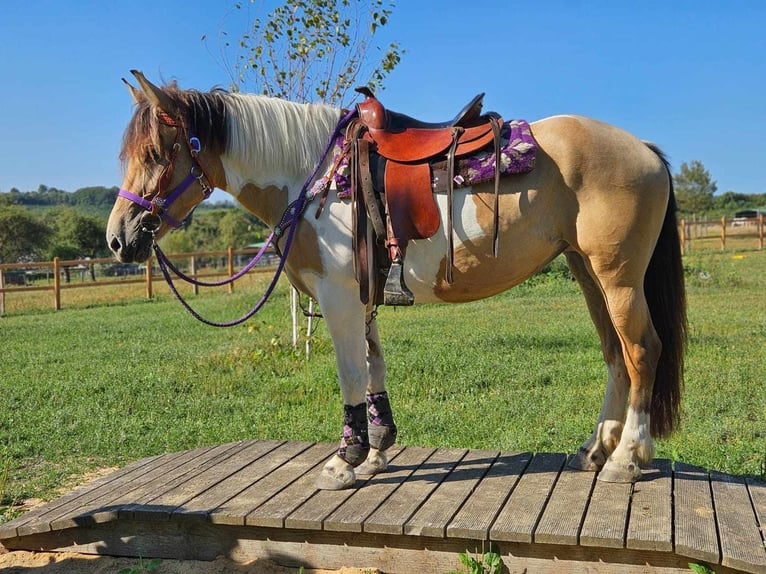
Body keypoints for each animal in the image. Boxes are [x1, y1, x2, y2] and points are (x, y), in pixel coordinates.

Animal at [108, 68, 688, 490]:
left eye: (156, 154)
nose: (118, 239)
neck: (314, 176)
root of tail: (645, 150)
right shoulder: (362, 297)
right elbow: (374, 367)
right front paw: (378, 451)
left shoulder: (339, 297)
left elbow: (349, 373)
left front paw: (345, 460)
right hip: (588, 272)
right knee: (615, 353)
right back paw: (595, 451)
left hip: (618, 279)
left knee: (642, 350)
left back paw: (626, 460)